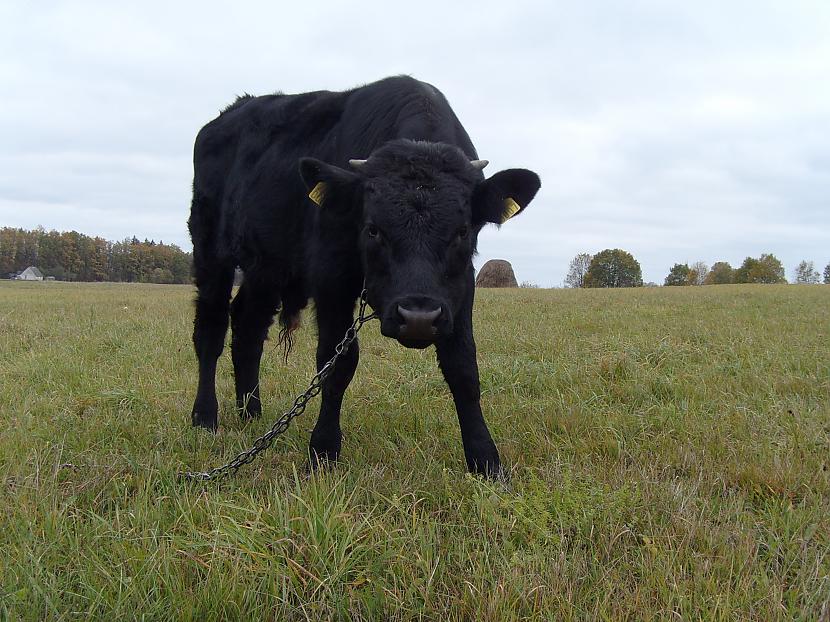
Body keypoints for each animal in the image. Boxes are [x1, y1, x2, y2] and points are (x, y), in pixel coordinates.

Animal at [188, 78, 540, 478]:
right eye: (373, 229)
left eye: (462, 231)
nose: (418, 318)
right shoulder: (332, 278)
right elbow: (337, 363)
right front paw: (323, 450)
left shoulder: (460, 287)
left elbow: (463, 365)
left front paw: (485, 460)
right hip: (210, 249)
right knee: (211, 329)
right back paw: (205, 416)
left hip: (266, 266)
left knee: (248, 327)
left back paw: (251, 413)